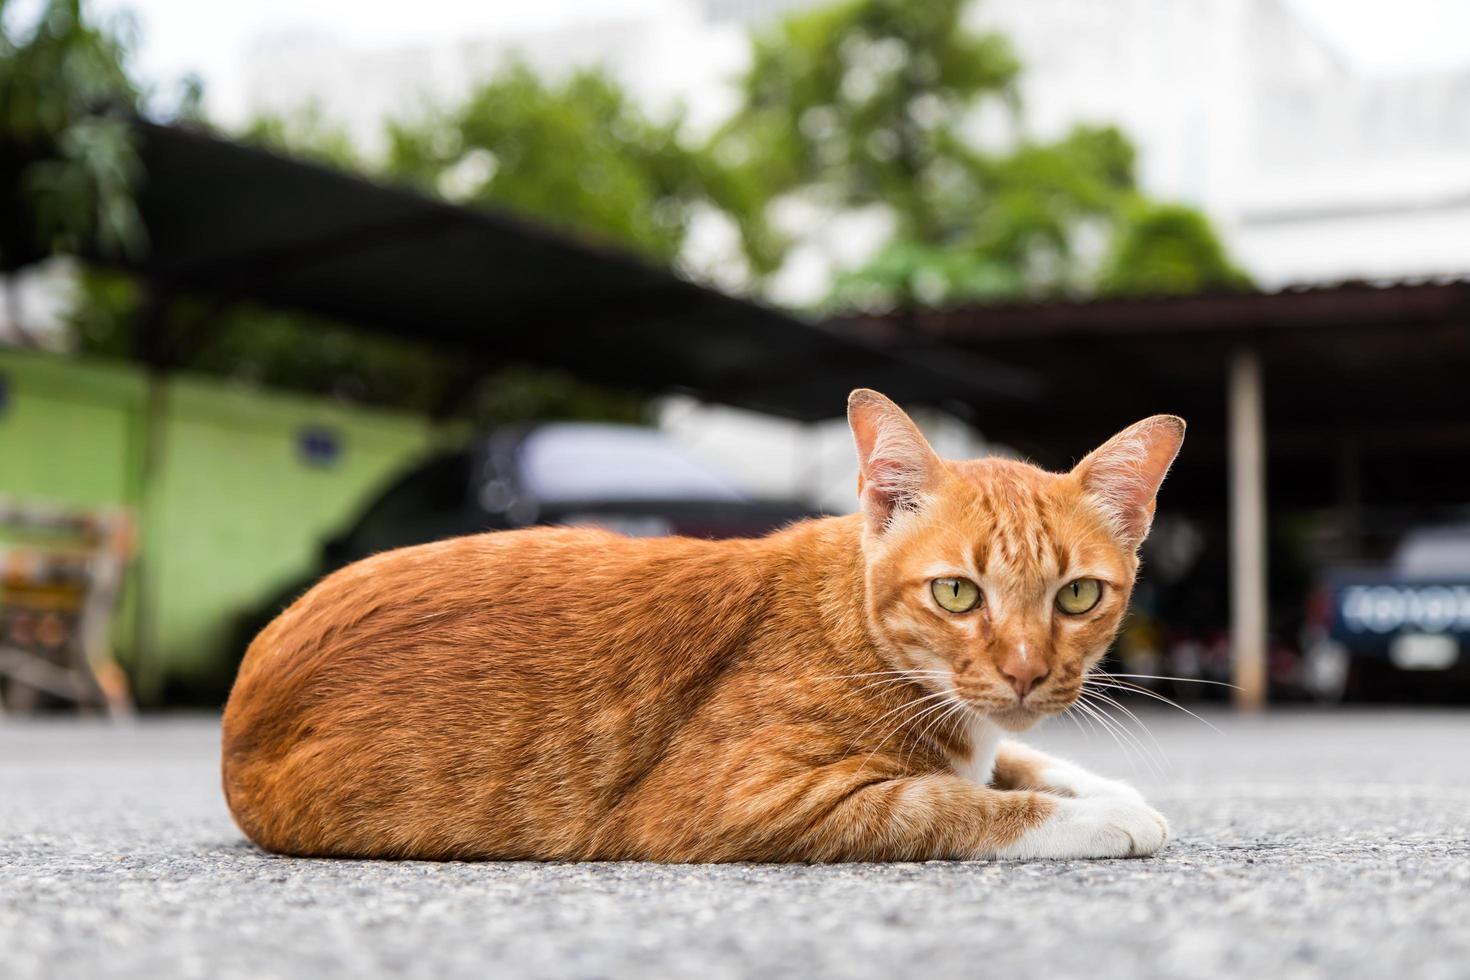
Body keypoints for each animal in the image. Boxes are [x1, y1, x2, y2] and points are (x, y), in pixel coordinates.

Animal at [220, 387, 1181, 863]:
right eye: (956, 594)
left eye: (1077, 597)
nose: (1023, 672)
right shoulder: (739, 801)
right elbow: (948, 801)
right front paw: (1103, 818)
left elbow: (1010, 757)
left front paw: (1102, 785)